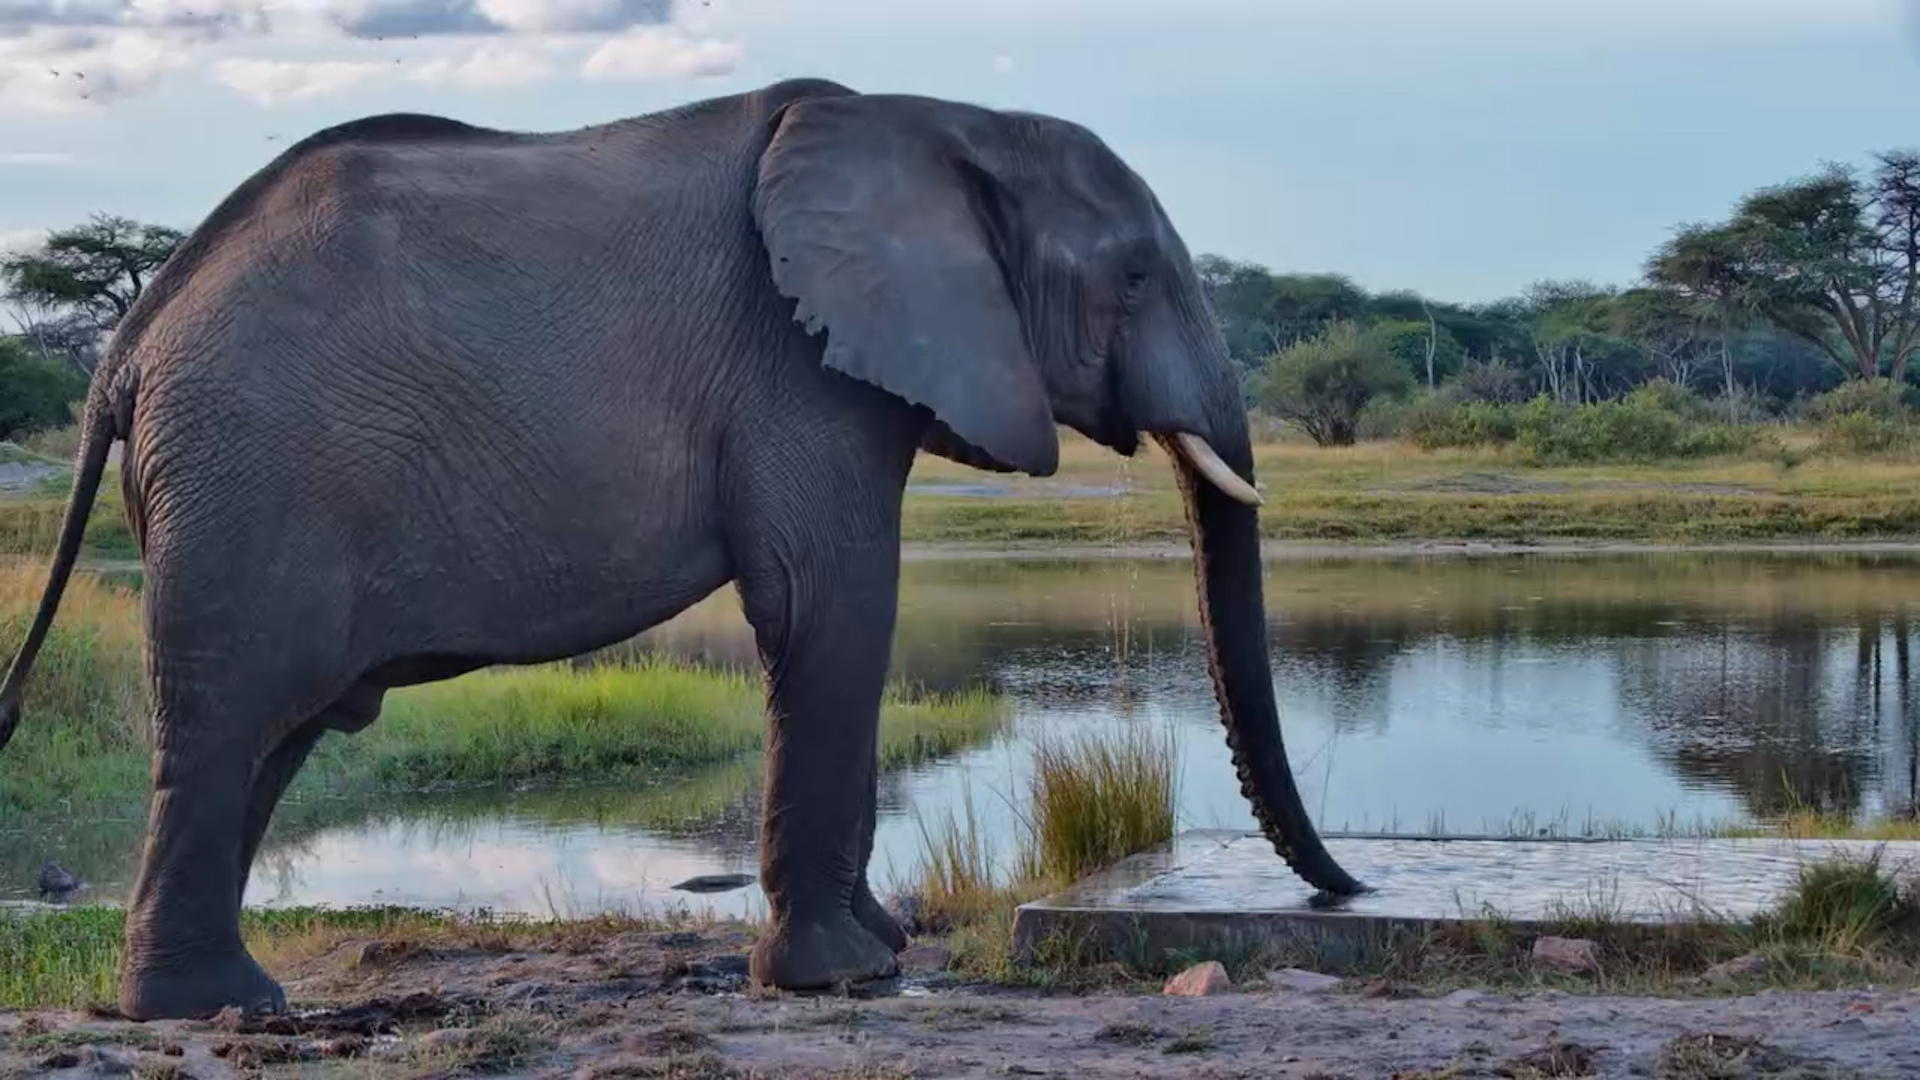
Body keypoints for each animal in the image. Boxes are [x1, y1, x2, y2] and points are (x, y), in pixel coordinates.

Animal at [0, 76, 1364, 1021]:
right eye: (1131, 277)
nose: (1340, 891)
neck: (944, 123)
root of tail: (130, 339)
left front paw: (885, 952)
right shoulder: (799, 369)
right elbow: (832, 608)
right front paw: (842, 978)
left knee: (272, 736)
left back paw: (220, 1001)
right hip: (250, 478)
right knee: (232, 720)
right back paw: (212, 1007)